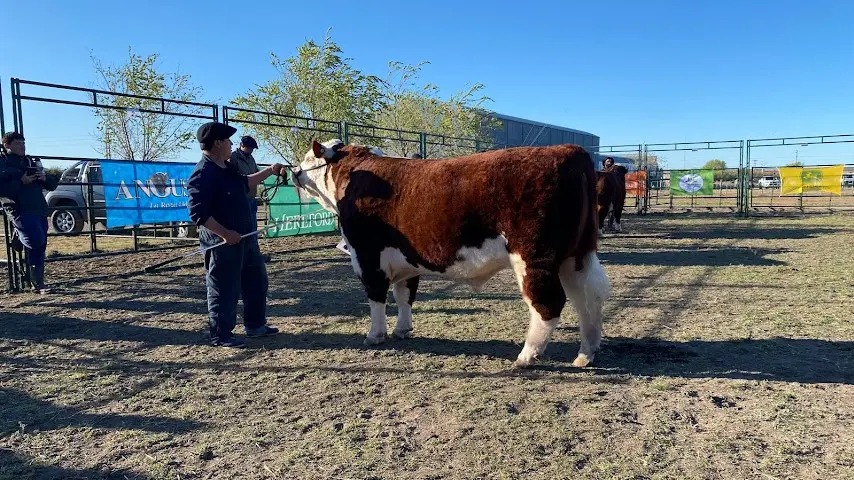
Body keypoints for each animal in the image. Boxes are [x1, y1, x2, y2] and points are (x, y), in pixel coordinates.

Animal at [290, 139, 612, 368]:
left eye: (308, 158)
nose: (292, 172)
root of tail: (569, 150)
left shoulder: (367, 256)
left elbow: (377, 298)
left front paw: (375, 335)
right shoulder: (405, 261)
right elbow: (404, 295)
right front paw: (403, 330)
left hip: (534, 258)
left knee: (548, 303)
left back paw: (527, 356)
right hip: (576, 257)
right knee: (588, 299)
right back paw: (586, 353)